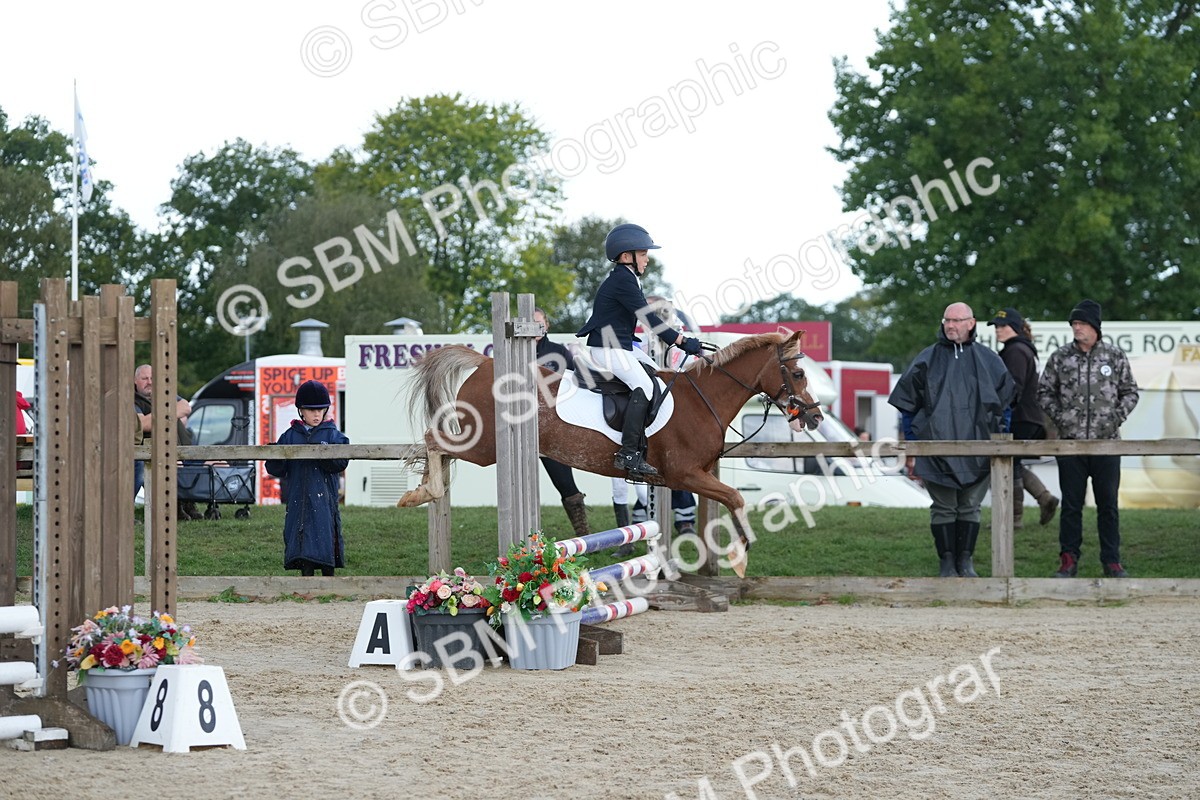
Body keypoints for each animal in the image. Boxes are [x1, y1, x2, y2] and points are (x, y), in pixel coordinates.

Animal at [396, 329, 823, 577]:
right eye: (798, 374)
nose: (815, 417)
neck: (702, 400)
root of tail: (487, 362)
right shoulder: (684, 474)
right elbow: (735, 497)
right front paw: (739, 557)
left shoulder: (692, 476)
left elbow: (729, 500)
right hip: (485, 445)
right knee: (434, 440)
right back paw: (424, 491)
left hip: (483, 445)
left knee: (440, 449)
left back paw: (423, 489)